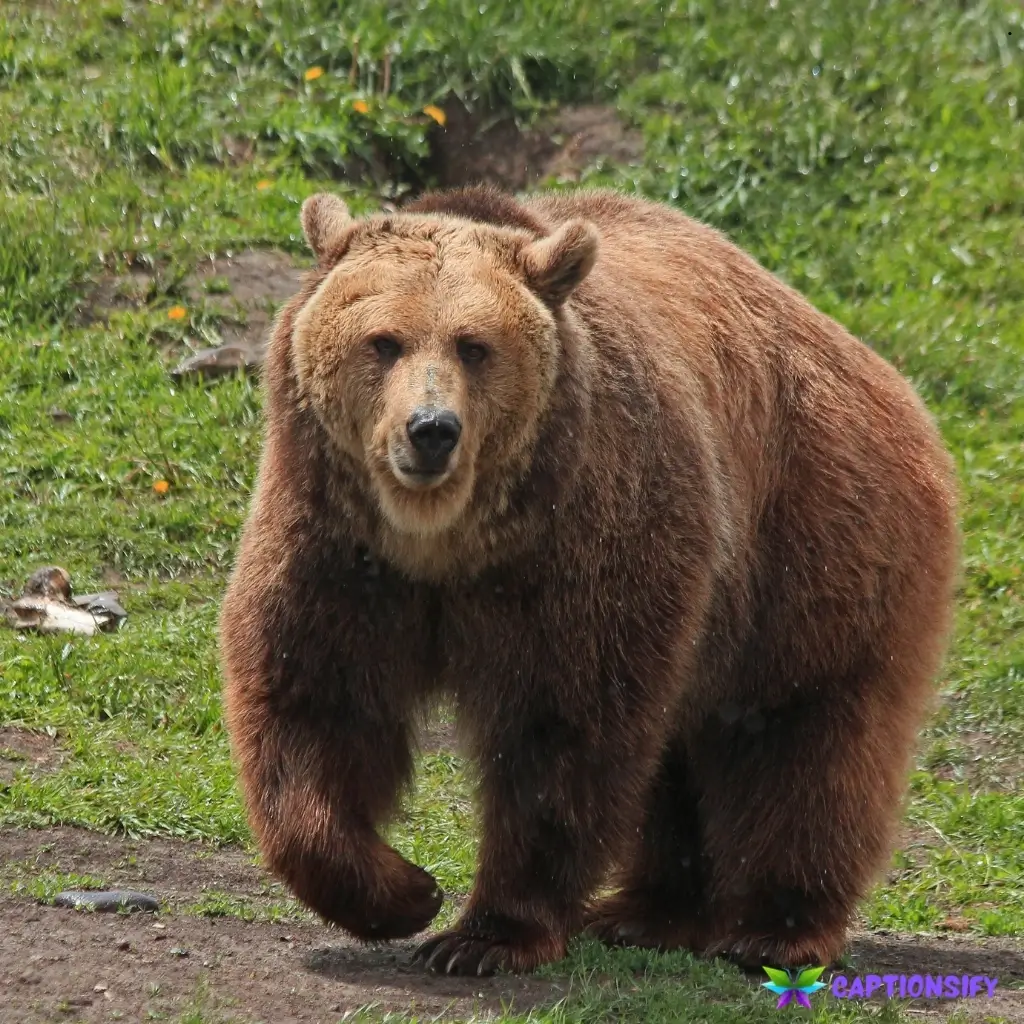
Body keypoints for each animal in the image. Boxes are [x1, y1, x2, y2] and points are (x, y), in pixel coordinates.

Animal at [218, 184, 959, 977]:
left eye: (473, 346)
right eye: (384, 341)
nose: (431, 430)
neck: (442, 540)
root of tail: (867, 359)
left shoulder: (581, 541)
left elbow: (562, 724)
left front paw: (485, 935)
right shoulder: (337, 544)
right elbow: (314, 702)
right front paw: (403, 891)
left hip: (812, 536)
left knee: (802, 734)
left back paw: (774, 927)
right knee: (682, 751)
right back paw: (648, 912)